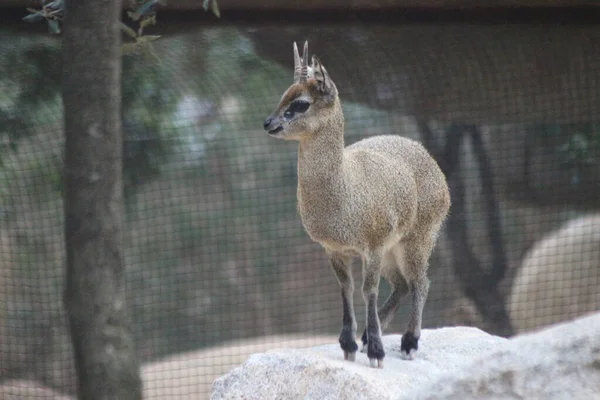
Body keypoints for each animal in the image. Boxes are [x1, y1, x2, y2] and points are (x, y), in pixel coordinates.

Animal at [262, 42, 450, 368]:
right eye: (284, 94)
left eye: (301, 103)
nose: (269, 123)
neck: (343, 188)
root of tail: (428, 157)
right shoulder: (335, 249)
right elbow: (346, 288)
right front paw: (349, 344)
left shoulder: (371, 247)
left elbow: (368, 290)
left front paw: (376, 351)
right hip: (392, 252)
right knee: (402, 285)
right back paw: (366, 338)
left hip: (416, 242)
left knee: (420, 283)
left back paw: (408, 342)